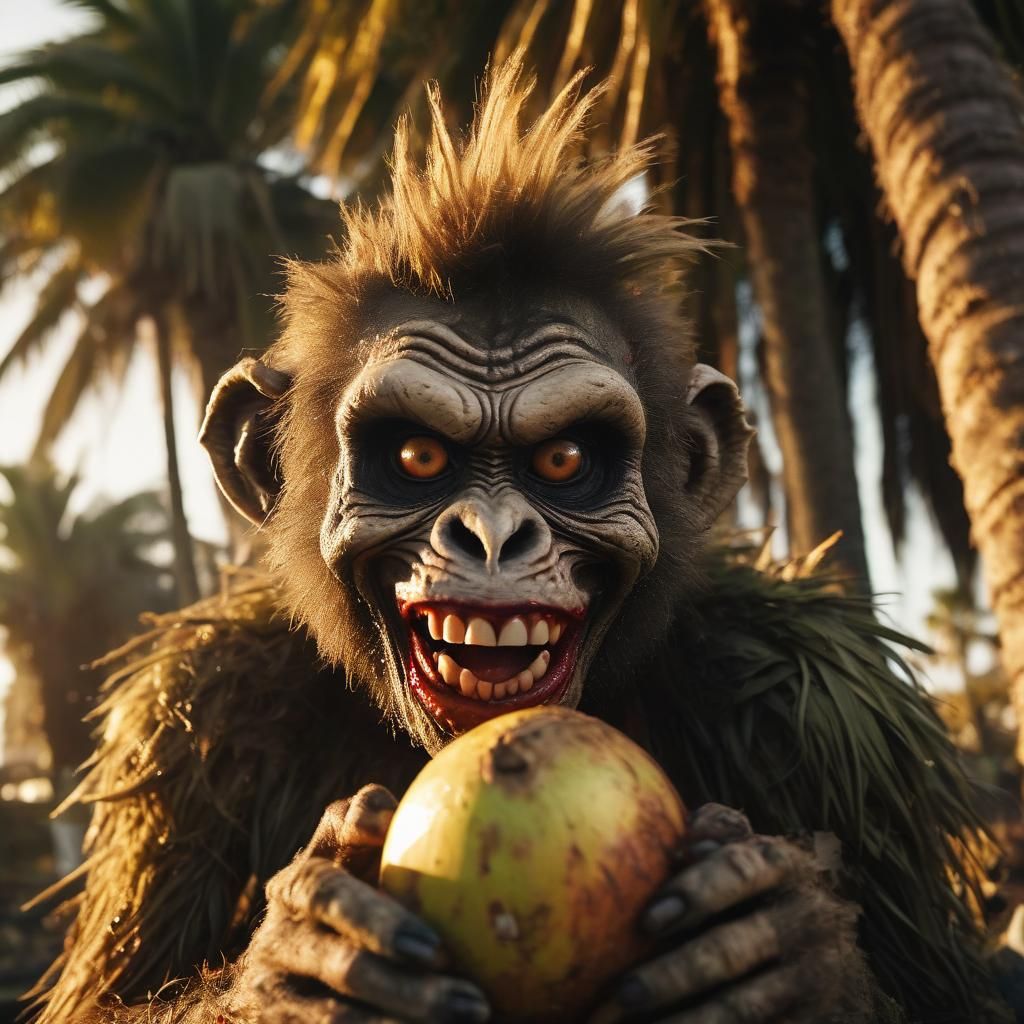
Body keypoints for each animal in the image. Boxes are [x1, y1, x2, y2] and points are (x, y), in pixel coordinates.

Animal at [29, 58, 1012, 1024]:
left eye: (564, 458)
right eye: (419, 457)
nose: (493, 534)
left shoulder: (821, 705)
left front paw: (785, 943)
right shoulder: (186, 722)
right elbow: (108, 995)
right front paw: (299, 965)